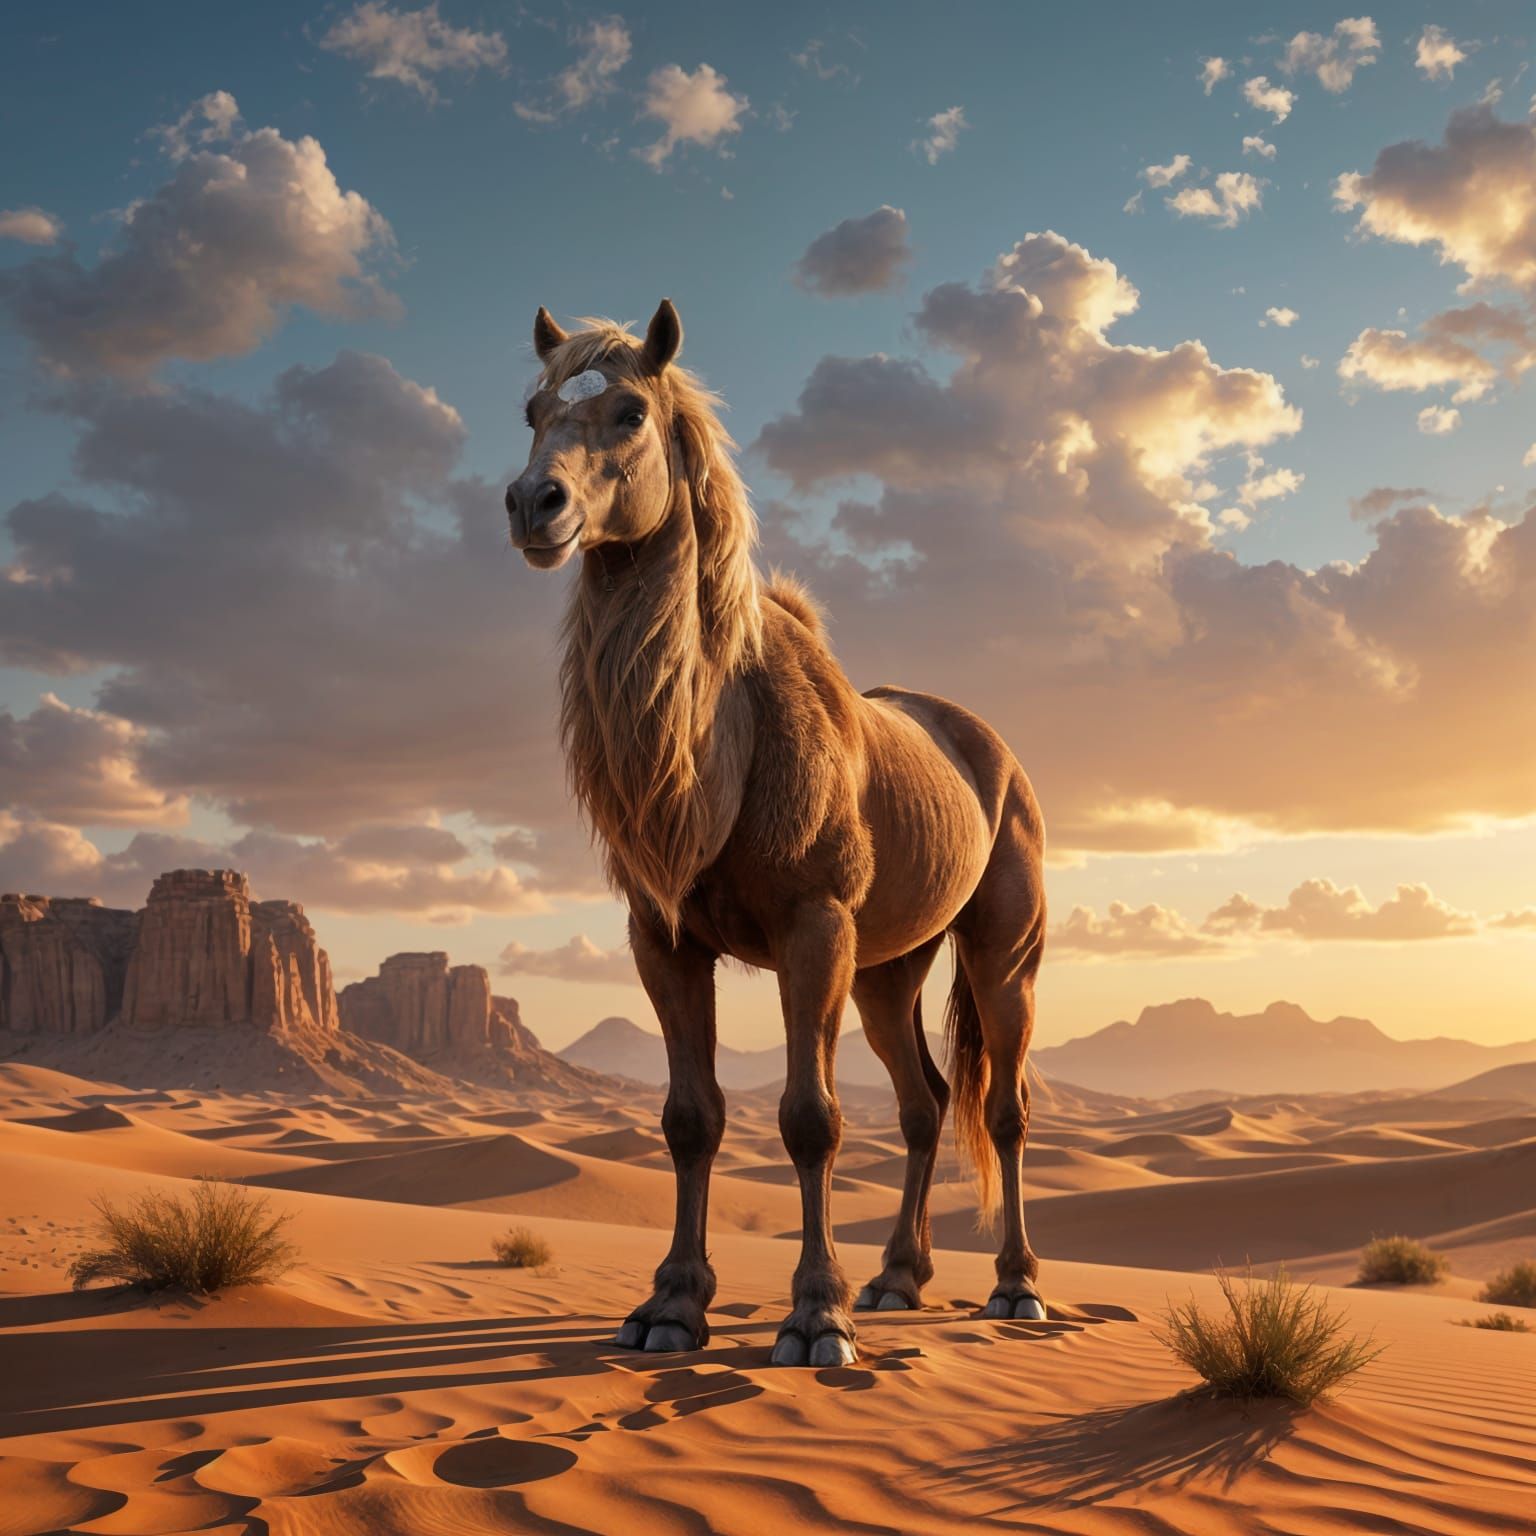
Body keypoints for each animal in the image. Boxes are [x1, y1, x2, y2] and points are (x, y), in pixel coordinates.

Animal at [505, 299, 1048, 1366]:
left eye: (630, 409)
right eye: (533, 410)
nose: (532, 504)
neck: (723, 746)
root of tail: (994, 755)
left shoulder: (813, 926)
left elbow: (810, 1119)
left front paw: (816, 1318)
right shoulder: (663, 936)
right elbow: (690, 1117)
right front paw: (671, 1306)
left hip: (1000, 951)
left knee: (1000, 1108)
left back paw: (1013, 1288)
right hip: (890, 968)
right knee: (924, 1103)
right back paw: (898, 1278)